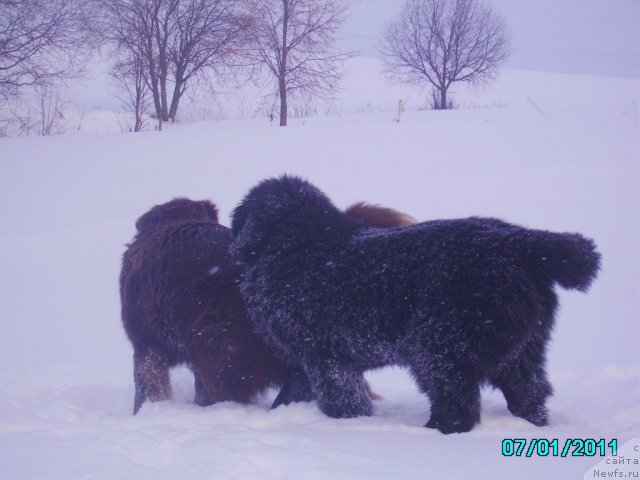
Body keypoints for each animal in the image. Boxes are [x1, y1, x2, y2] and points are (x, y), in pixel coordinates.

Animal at [230, 175, 600, 432]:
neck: (297, 244)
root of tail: (519, 242)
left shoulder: (326, 357)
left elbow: (342, 398)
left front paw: (349, 424)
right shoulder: (309, 360)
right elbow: (293, 391)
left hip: (440, 346)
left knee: (457, 401)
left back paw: (433, 433)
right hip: (522, 350)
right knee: (530, 392)